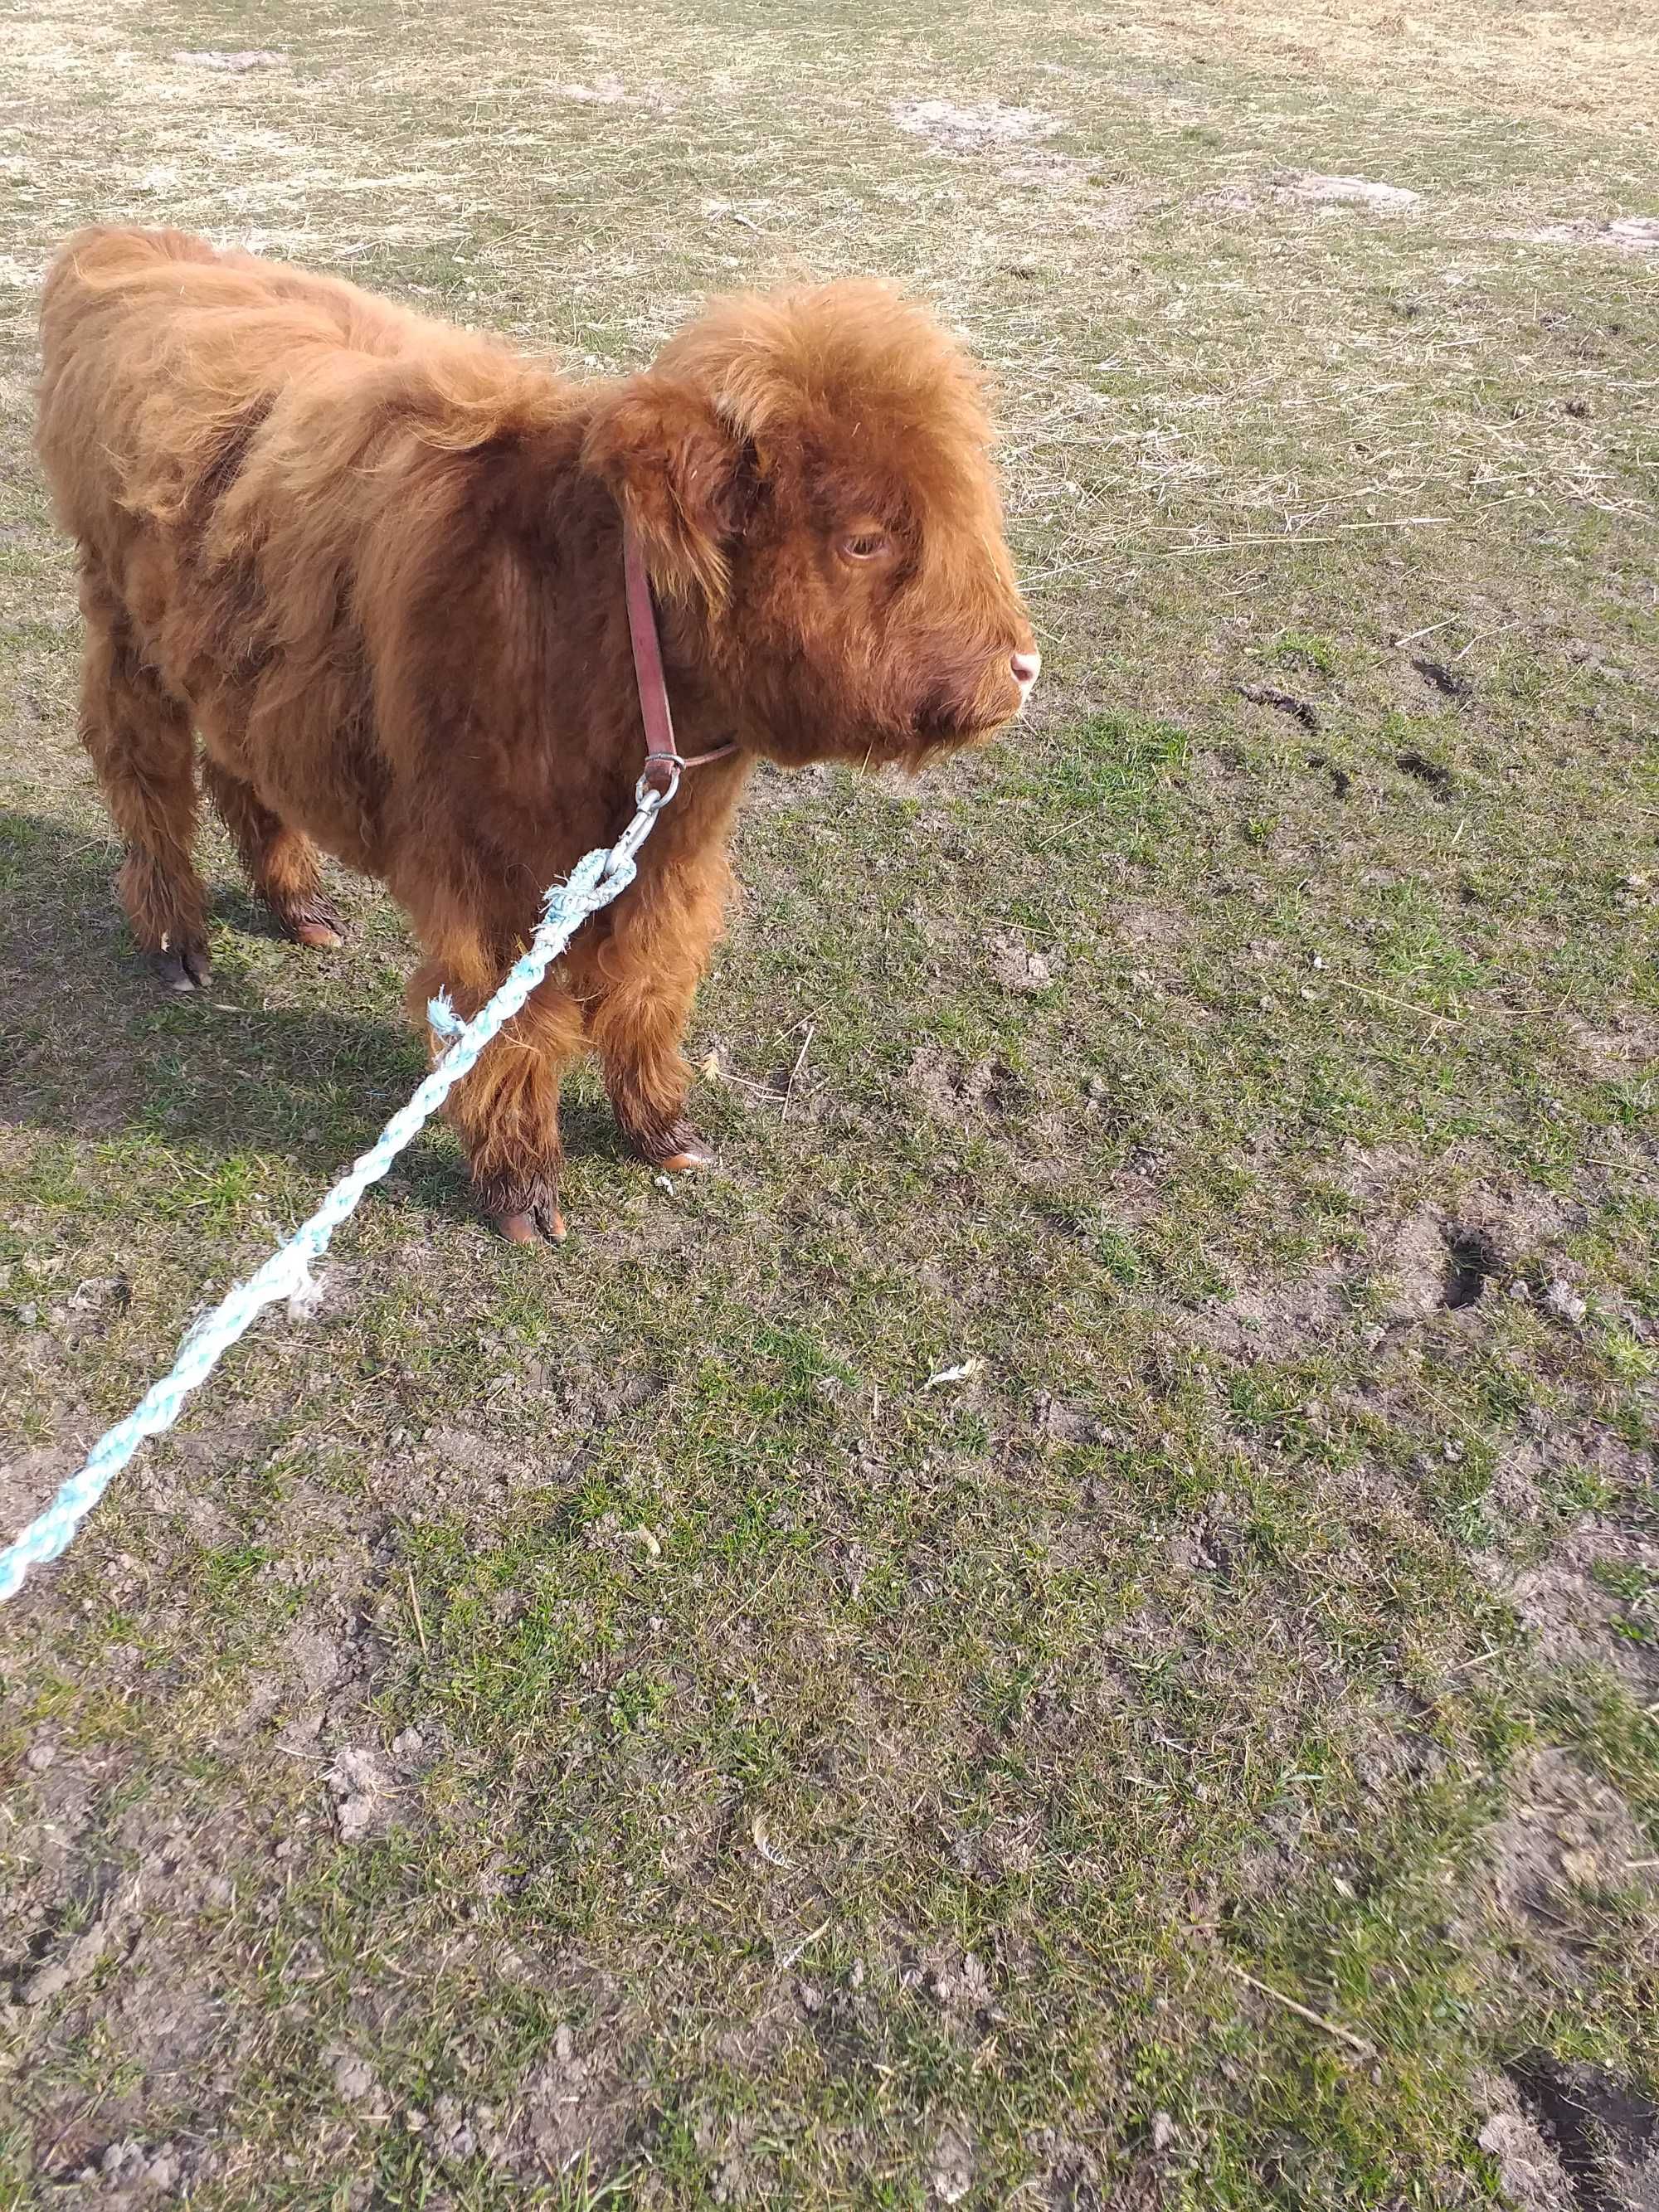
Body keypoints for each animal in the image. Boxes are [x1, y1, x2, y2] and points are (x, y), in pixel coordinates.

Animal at [36, 226, 1039, 1247]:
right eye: (864, 540)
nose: (1021, 666)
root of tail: (132, 248)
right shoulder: (495, 878)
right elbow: (516, 1022)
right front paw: (522, 1185)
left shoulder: (671, 863)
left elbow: (650, 987)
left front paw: (664, 1129)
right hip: (123, 633)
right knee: (144, 777)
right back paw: (175, 941)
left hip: (240, 660)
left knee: (242, 765)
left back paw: (298, 905)